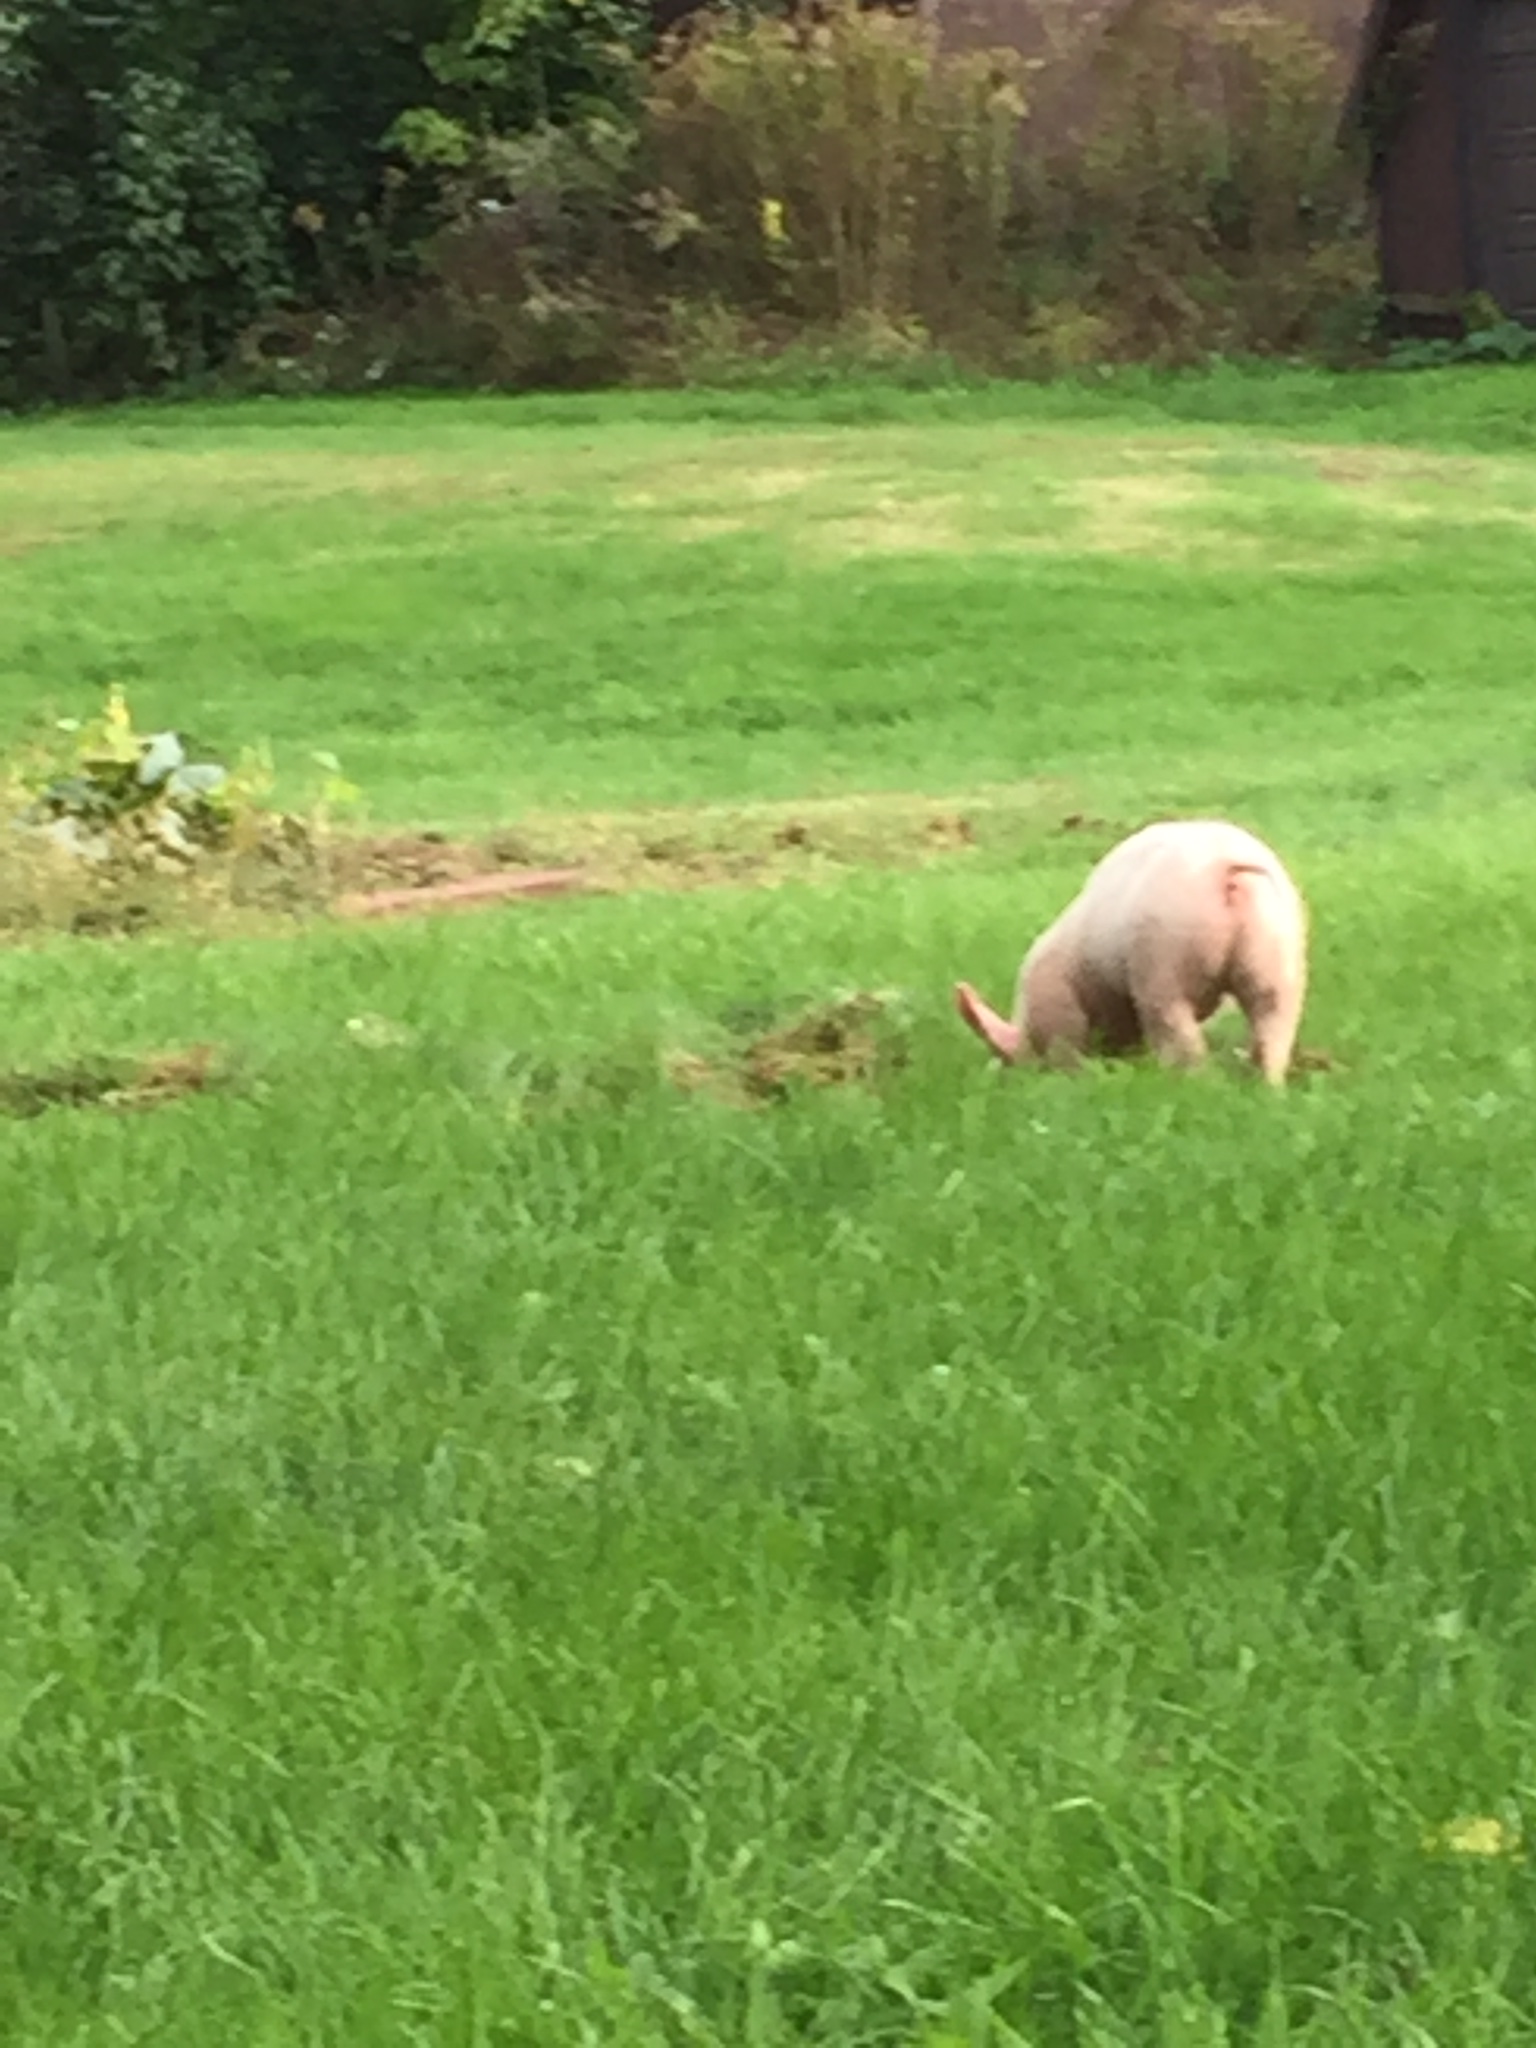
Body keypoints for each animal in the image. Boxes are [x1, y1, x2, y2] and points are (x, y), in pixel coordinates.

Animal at [954, 818, 1308, 1085]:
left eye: (1009, 1060)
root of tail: (1224, 867)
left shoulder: (1060, 1009)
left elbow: (1069, 1050)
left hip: (1163, 959)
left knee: (1179, 1036)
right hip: (1280, 955)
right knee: (1273, 1025)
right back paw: (1267, 1088)